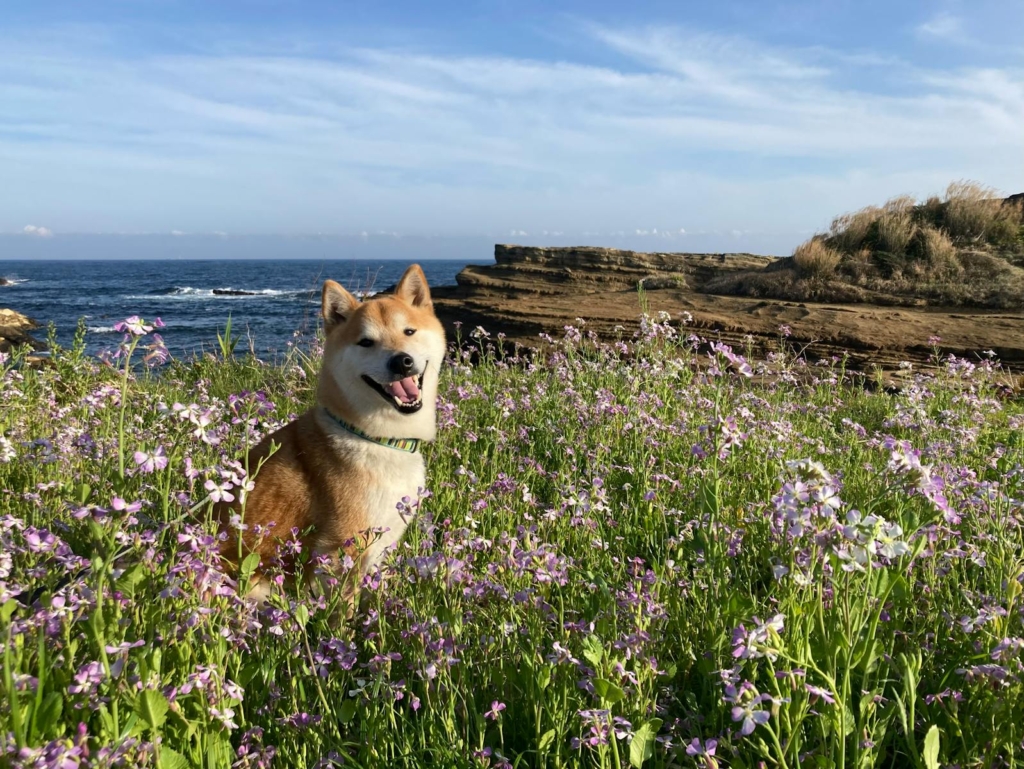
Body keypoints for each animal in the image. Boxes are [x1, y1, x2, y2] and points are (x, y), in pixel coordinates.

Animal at [220, 264, 444, 602]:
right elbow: (345, 608)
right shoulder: (346, 547)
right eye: (366, 342)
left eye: (409, 332)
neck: (375, 437)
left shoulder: (382, 544)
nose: (401, 361)